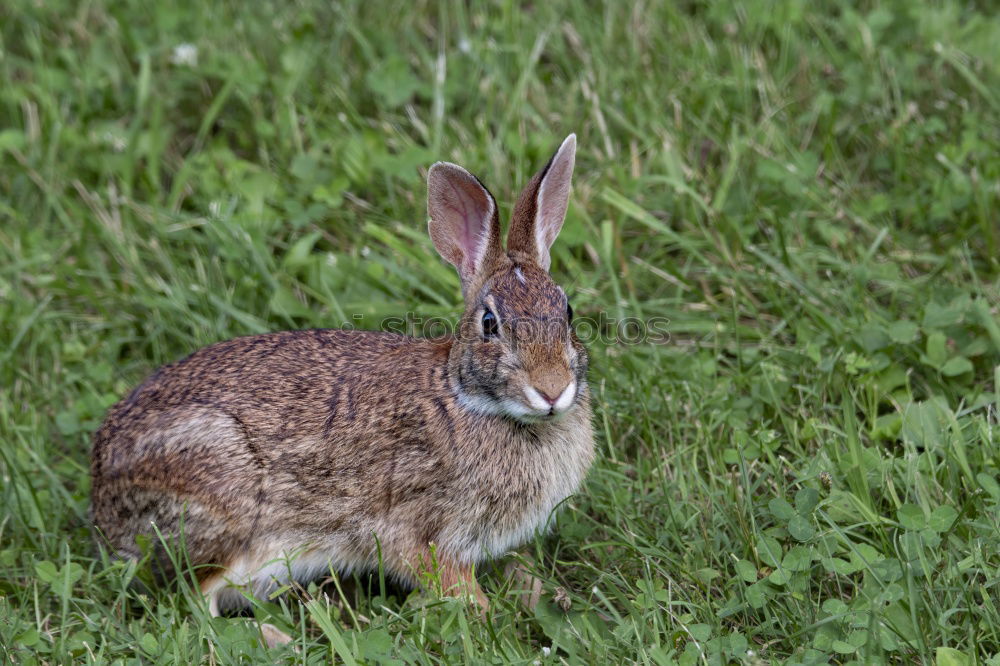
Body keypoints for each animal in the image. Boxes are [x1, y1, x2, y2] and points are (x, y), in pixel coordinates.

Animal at [90, 134, 588, 632]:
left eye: (567, 312)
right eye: (489, 324)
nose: (552, 390)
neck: (466, 397)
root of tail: (102, 498)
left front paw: (541, 594)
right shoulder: (417, 530)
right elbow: (449, 582)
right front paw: (488, 617)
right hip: (225, 505)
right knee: (196, 602)